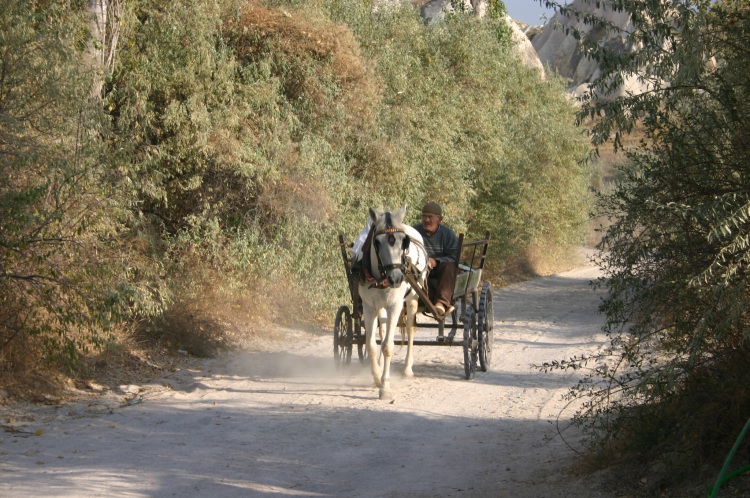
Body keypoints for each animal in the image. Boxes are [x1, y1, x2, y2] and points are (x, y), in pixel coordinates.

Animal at [360, 204, 428, 398]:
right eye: (377, 242)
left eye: (403, 241)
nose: (396, 278)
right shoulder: (369, 307)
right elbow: (371, 345)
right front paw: (377, 377)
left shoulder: (395, 306)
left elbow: (388, 346)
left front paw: (385, 387)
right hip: (380, 307)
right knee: (382, 331)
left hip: (412, 300)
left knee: (410, 329)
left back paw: (407, 369)